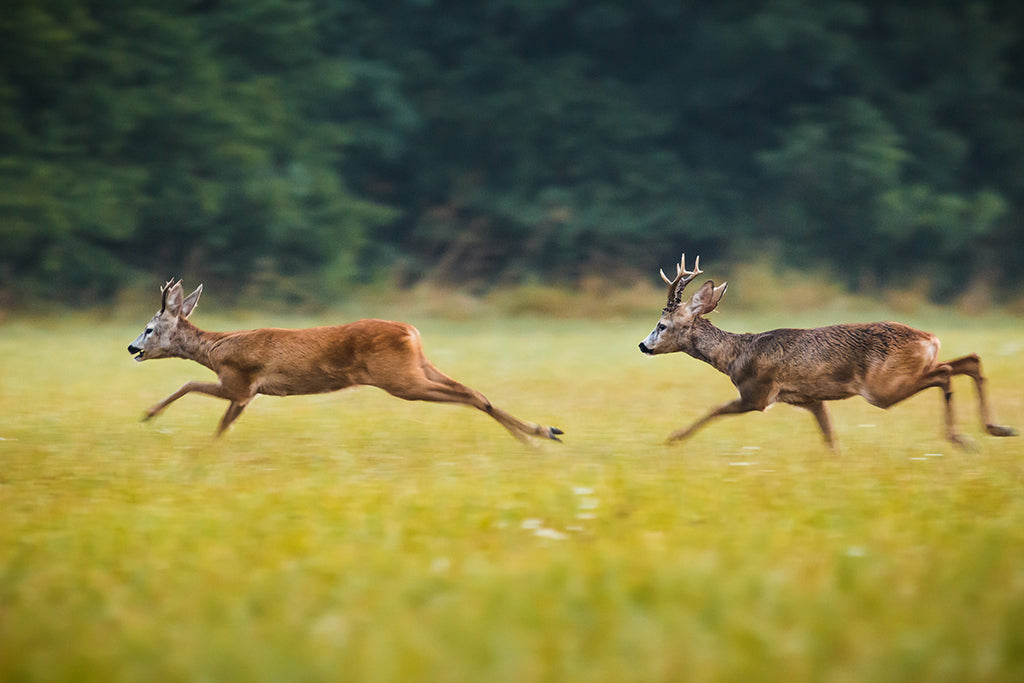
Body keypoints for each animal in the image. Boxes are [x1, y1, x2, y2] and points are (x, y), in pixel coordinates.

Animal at [125, 278, 569, 444]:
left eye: (149, 328)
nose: (131, 348)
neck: (216, 350)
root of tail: (411, 331)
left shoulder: (239, 383)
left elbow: (189, 386)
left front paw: (148, 414)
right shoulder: (245, 395)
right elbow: (221, 423)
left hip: (401, 380)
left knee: (471, 396)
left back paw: (533, 437)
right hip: (418, 367)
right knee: (475, 391)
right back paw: (543, 431)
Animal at [638, 253, 1015, 450]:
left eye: (662, 325)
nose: (643, 345)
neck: (735, 356)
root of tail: (929, 338)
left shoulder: (757, 394)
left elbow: (714, 410)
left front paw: (673, 438)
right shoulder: (809, 399)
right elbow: (830, 437)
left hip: (882, 387)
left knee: (947, 372)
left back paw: (962, 438)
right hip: (908, 372)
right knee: (969, 360)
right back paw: (998, 428)